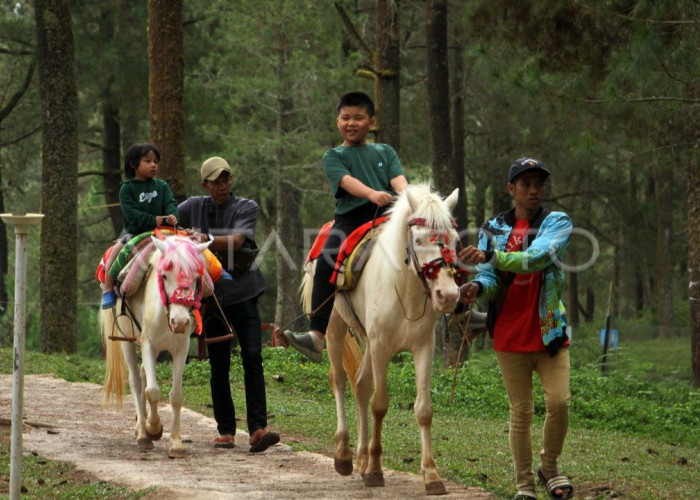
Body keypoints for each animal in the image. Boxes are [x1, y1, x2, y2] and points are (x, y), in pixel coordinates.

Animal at [101, 234, 209, 458]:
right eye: (165, 276)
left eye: (196, 278)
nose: (180, 322)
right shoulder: (148, 345)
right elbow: (152, 391)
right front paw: (153, 428)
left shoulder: (181, 349)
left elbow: (176, 396)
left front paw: (176, 443)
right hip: (128, 341)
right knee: (136, 380)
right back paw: (142, 433)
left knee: (143, 373)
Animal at [304, 186, 462, 494]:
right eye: (419, 239)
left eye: (453, 239)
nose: (448, 296)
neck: (405, 289)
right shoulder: (381, 348)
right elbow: (379, 404)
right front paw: (375, 470)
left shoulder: (423, 348)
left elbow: (423, 409)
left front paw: (431, 474)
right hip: (335, 329)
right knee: (339, 380)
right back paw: (344, 455)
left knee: (361, 385)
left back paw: (361, 457)